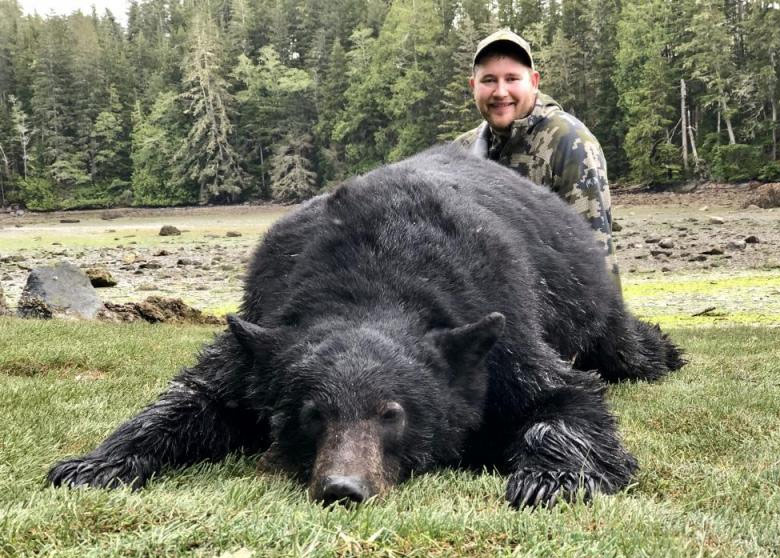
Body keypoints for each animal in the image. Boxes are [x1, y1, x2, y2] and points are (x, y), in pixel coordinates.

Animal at [48, 145, 684, 508]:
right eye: (312, 414)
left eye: (391, 414)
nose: (343, 489)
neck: (376, 279)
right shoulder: (264, 323)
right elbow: (195, 398)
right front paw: (93, 464)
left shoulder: (498, 332)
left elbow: (566, 396)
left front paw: (549, 480)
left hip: (586, 292)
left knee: (622, 347)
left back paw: (665, 352)